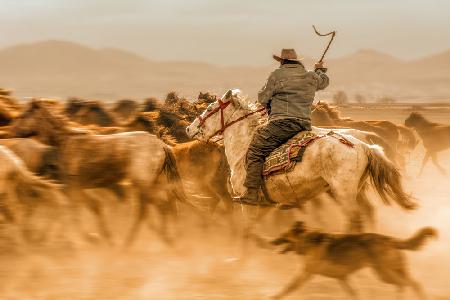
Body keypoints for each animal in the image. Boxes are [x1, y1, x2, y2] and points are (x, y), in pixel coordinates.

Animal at [8, 99, 188, 245]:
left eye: (24, 115)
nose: (10, 133)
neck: (66, 144)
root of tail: (160, 144)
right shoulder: (76, 188)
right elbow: (93, 208)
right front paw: (102, 237)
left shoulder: (73, 188)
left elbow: (69, 212)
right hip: (152, 184)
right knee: (163, 208)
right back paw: (167, 239)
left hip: (142, 184)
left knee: (147, 211)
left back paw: (129, 244)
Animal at [185, 89, 414, 232]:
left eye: (209, 109)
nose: (189, 128)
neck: (244, 146)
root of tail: (364, 146)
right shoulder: (267, 206)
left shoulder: (247, 203)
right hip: (352, 191)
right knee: (368, 213)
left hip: (344, 193)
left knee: (355, 220)